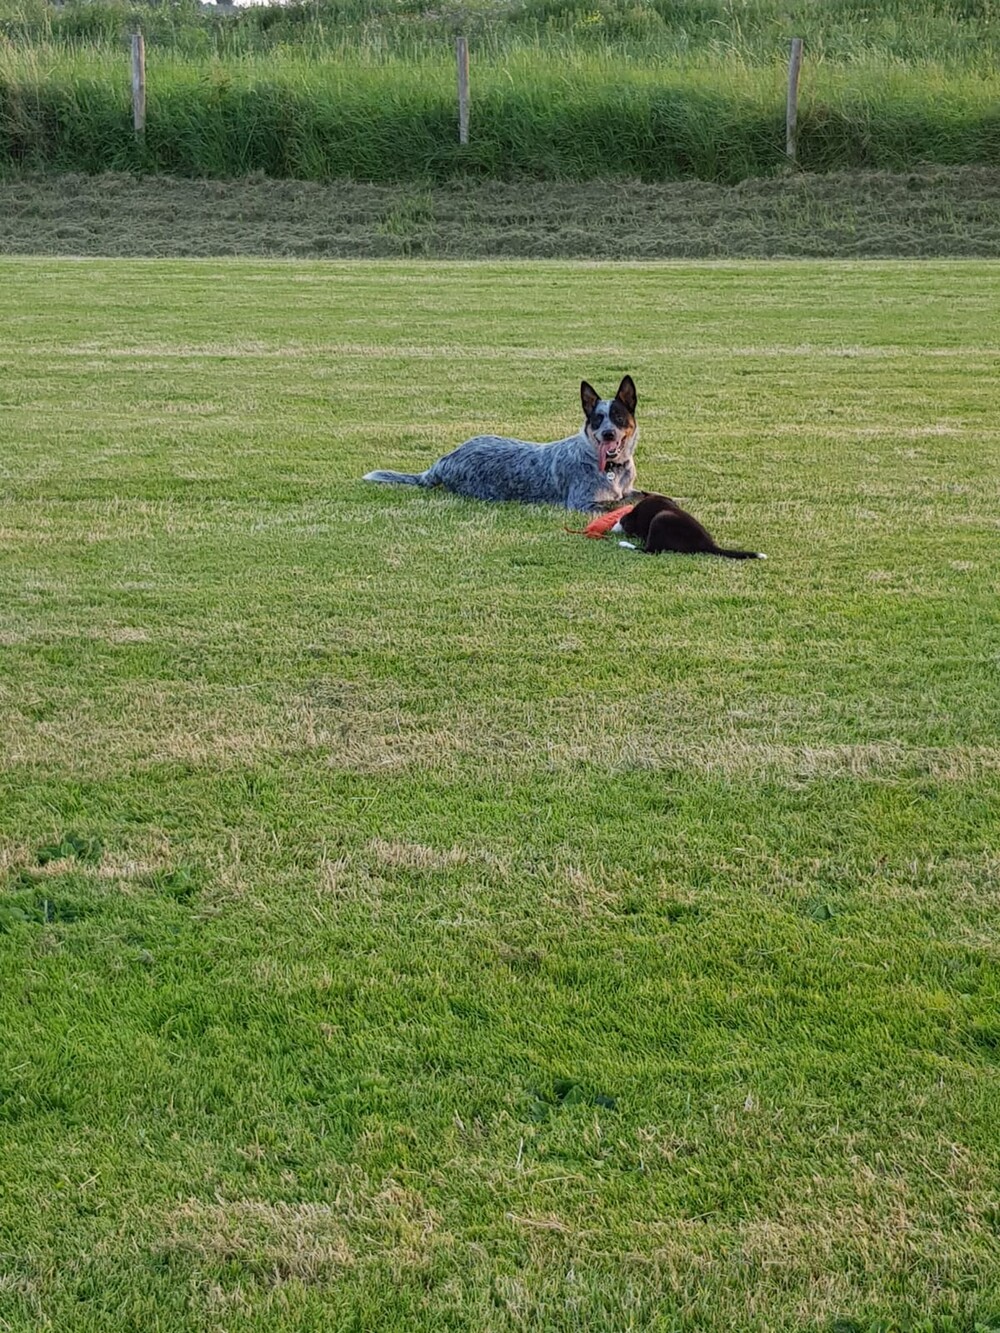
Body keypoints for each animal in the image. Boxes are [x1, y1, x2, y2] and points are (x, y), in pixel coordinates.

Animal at [364, 376, 640, 513]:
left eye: (617, 416)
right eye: (597, 419)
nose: (607, 434)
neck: (611, 469)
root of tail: (443, 461)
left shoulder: (627, 489)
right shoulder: (583, 503)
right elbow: (620, 504)